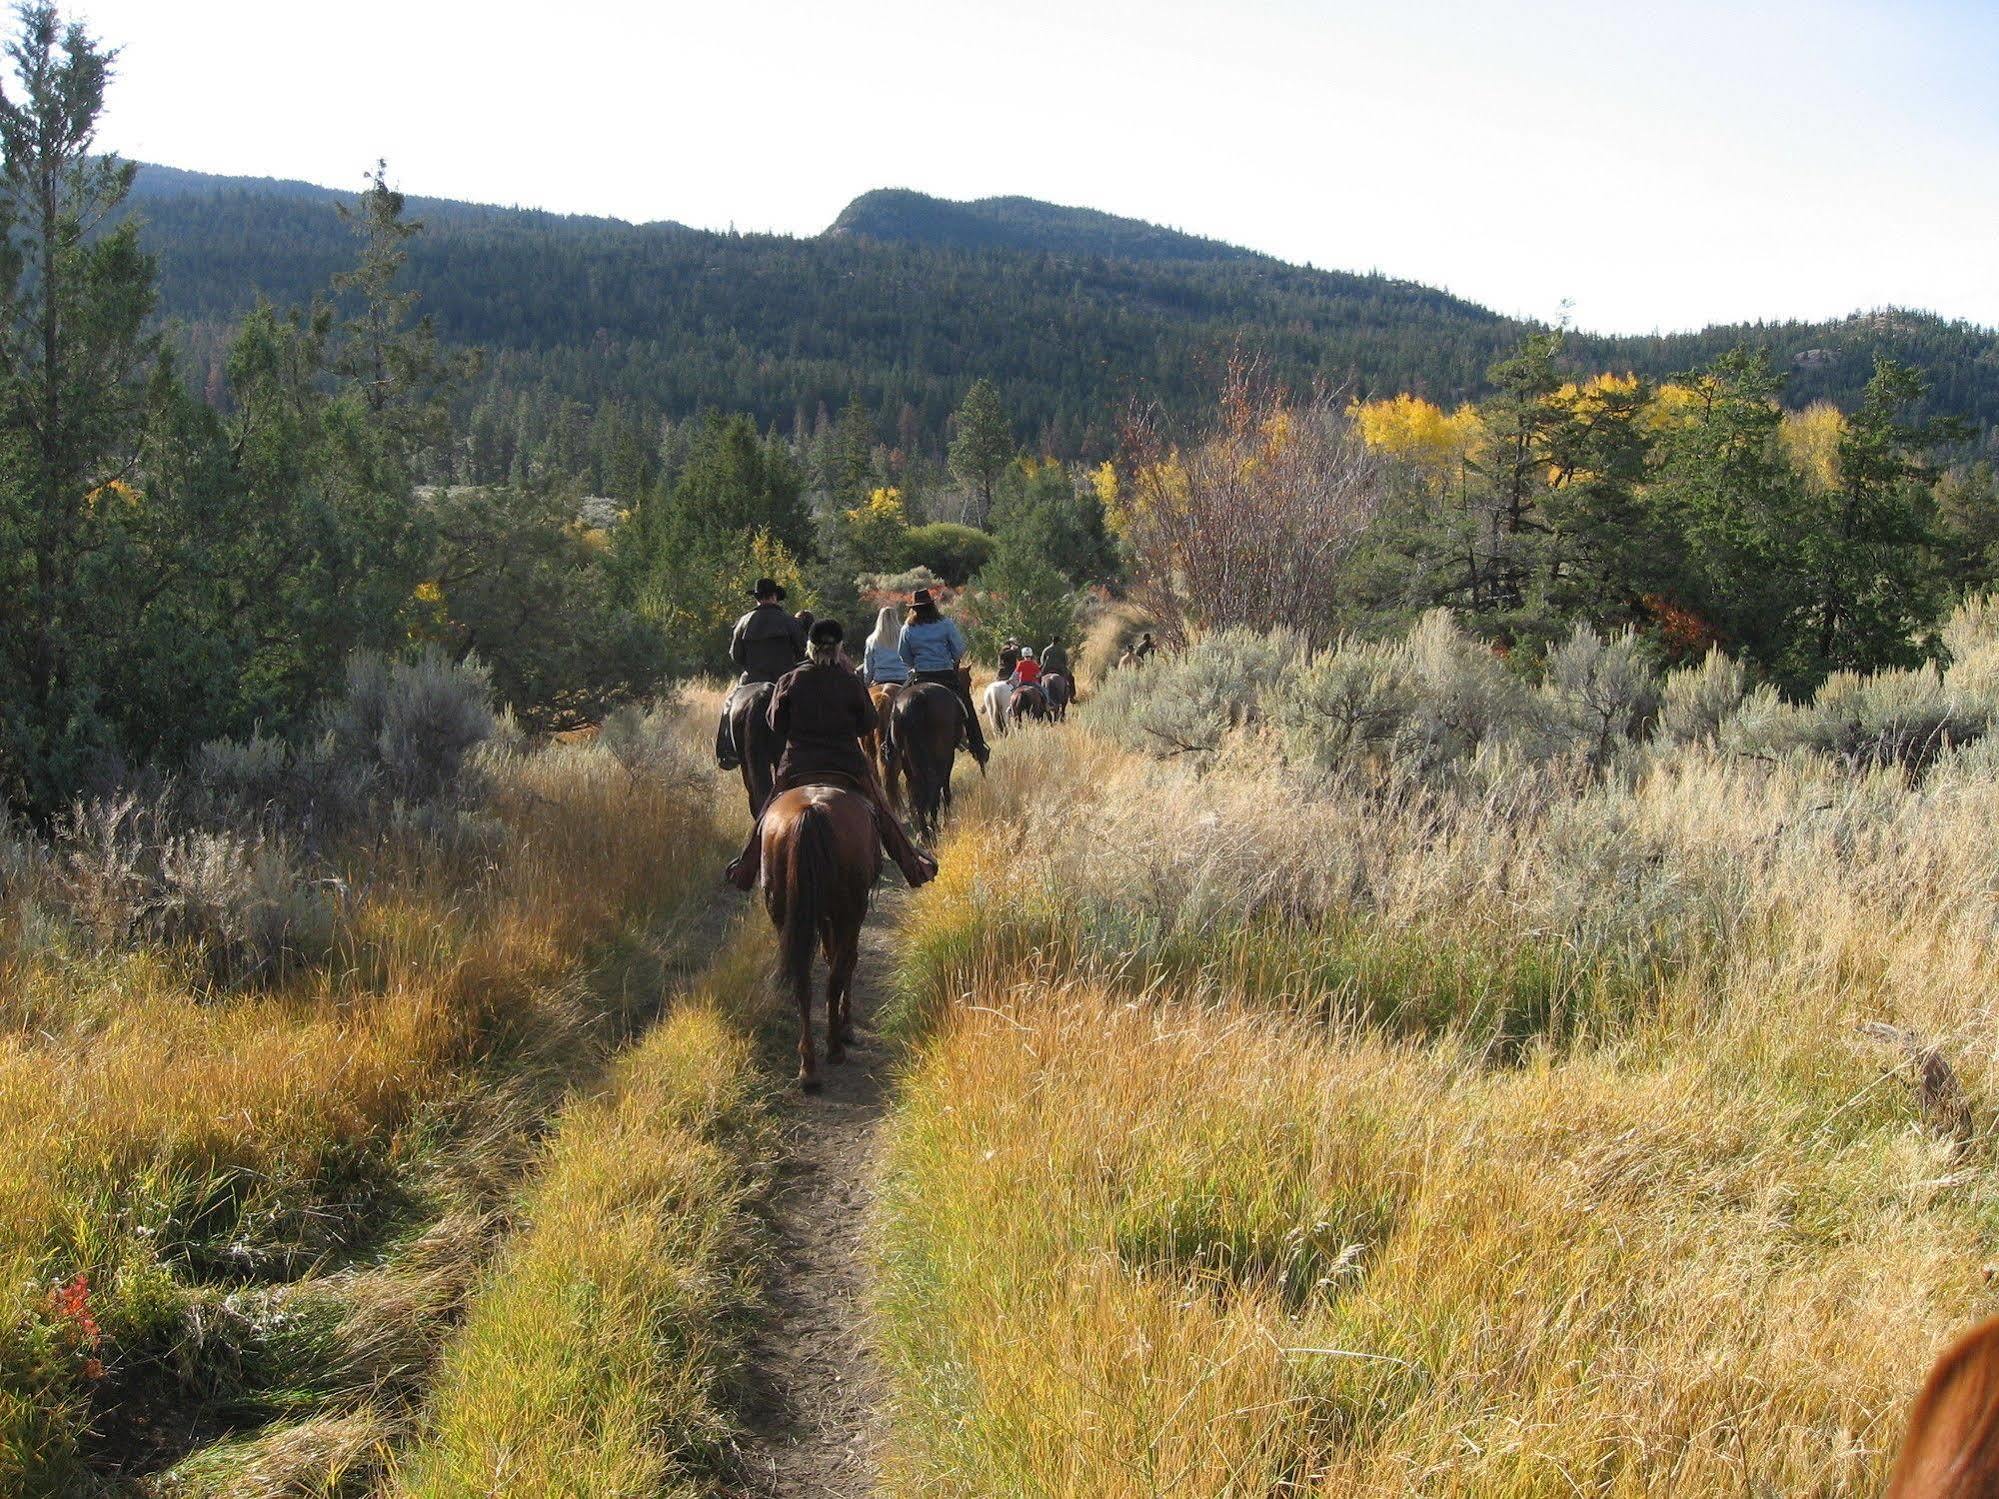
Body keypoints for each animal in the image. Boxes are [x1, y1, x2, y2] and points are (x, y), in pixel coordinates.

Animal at [759, 787, 879, 1095]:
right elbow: (845, 960)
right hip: (849, 911)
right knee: (835, 974)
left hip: (783, 912)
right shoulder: (847, 916)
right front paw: (846, 1026)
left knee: (802, 980)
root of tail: (809, 812)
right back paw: (835, 1048)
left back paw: (809, 1069)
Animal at [891, 683, 959, 839]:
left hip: (908, 761)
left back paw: (924, 833)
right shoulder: (948, 758)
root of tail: (916, 697)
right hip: (941, 757)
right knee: (933, 787)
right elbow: (945, 790)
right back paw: (933, 828)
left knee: (917, 791)